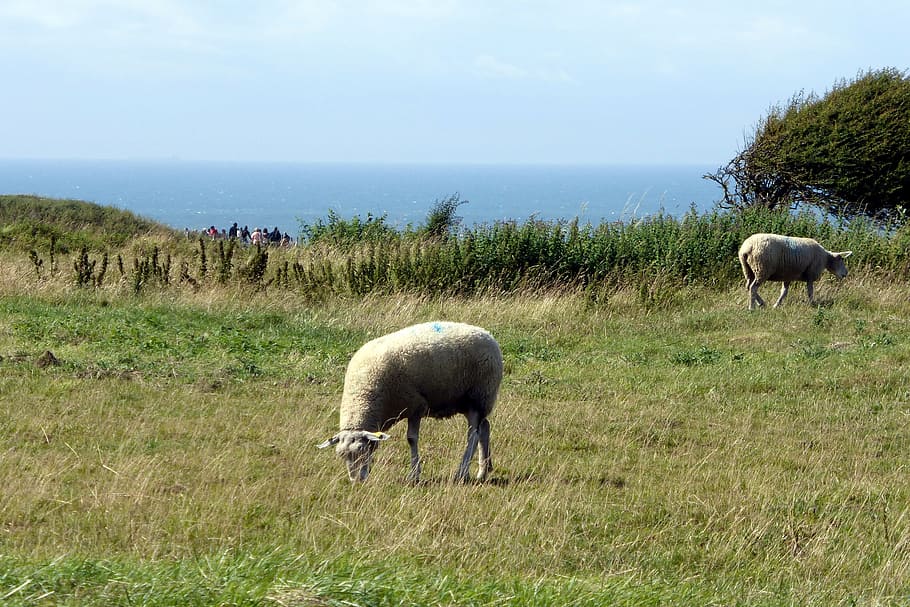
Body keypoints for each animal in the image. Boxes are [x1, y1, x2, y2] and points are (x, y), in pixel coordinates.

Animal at [318, 321, 503, 483]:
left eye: (362, 450)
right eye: (341, 455)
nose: (356, 481)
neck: (364, 394)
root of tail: (487, 334)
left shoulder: (415, 406)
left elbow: (411, 439)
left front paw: (414, 475)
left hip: (478, 396)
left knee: (473, 435)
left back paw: (463, 472)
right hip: (467, 401)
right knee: (484, 428)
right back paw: (483, 471)